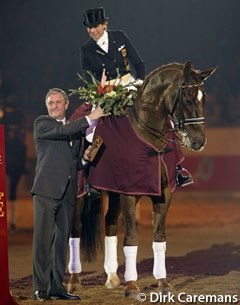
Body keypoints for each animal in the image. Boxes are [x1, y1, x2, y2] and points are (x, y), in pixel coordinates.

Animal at [67, 60, 216, 296]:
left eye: (204, 98)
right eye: (187, 98)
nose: (199, 142)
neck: (148, 135)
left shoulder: (163, 193)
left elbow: (159, 237)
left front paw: (162, 282)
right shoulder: (129, 193)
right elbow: (131, 237)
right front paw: (131, 285)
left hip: (114, 192)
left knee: (110, 223)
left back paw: (111, 277)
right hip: (80, 193)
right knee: (75, 230)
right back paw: (74, 281)